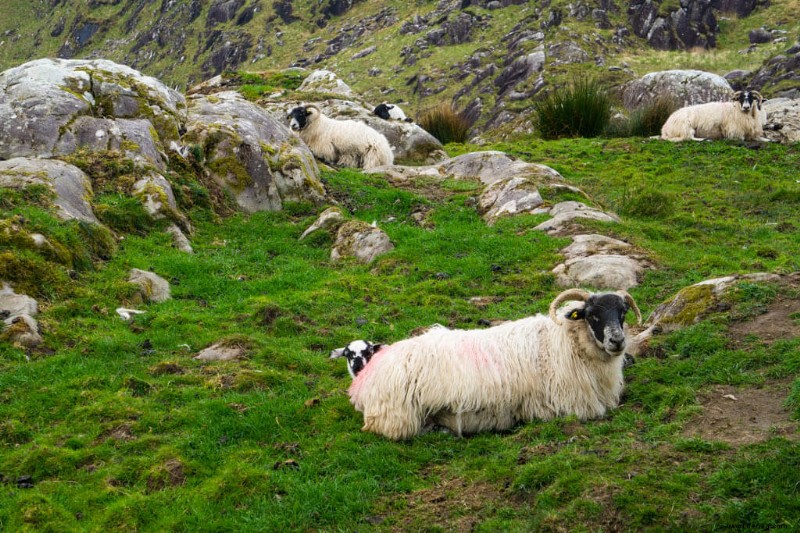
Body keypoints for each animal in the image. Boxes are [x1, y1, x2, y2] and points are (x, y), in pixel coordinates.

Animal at [344, 288, 644, 438]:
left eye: (623, 312)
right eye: (592, 315)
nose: (617, 341)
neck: (561, 341)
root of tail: (366, 378)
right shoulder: (571, 405)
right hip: (397, 416)